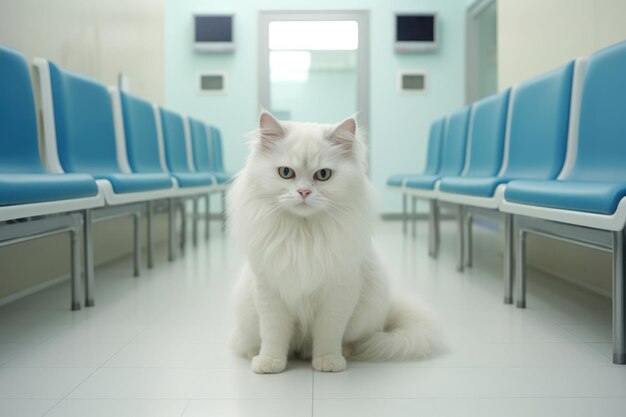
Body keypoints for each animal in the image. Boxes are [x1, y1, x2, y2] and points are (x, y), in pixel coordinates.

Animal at [228, 112, 438, 372]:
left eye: (323, 175)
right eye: (286, 172)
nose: (304, 192)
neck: (304, 234)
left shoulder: (338, 293)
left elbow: (328, 333)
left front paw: (328, 362)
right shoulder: (270, 292)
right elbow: (273, 333)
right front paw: (270, 363)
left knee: (350, 340)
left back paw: (339, 352)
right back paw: (255, 353)